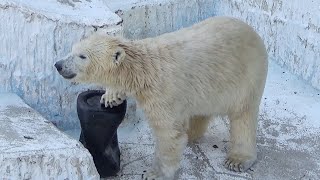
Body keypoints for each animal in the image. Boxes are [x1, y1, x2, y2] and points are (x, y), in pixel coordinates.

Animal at [54, 16, 268, 179]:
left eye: (82, 56)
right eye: (72, 50)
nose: (58, 65)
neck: (144, 71)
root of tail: (253, 32)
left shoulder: (164, 93)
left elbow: (169, 133)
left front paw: (155, 174)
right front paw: (110, 97)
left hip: (246, 77)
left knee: (243, 117)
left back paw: (237, 159)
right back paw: (192, 132)